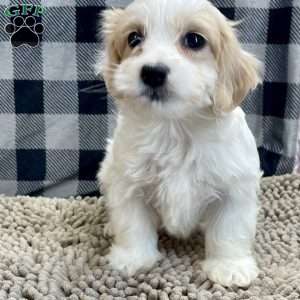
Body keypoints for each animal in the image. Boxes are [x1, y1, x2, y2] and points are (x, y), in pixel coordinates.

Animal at [97, 0, 262, 288]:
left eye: (194, 40)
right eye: (134, 38)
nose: (152, 72)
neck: (175, 128)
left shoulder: (235, 187)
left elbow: (230, 230)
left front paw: (229, 267)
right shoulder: (127, 182)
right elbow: (132, 222)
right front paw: (132, 258)